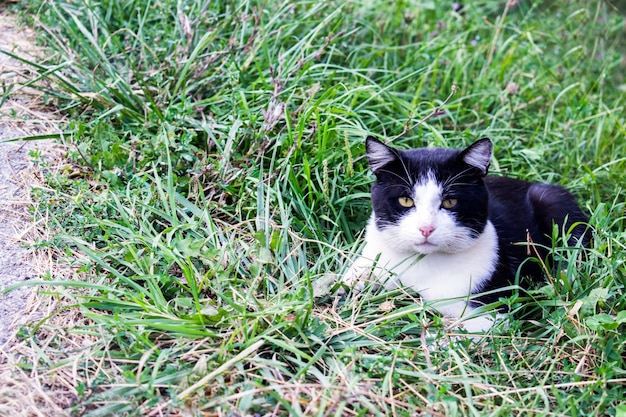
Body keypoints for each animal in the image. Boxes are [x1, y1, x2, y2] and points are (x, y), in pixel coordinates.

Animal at [338, 136, 588, 332]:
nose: (426, 228)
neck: (422, 263)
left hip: (553, 202)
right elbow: (348, 281)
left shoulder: (493, 308)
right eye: (406, 200)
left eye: (450, 202)